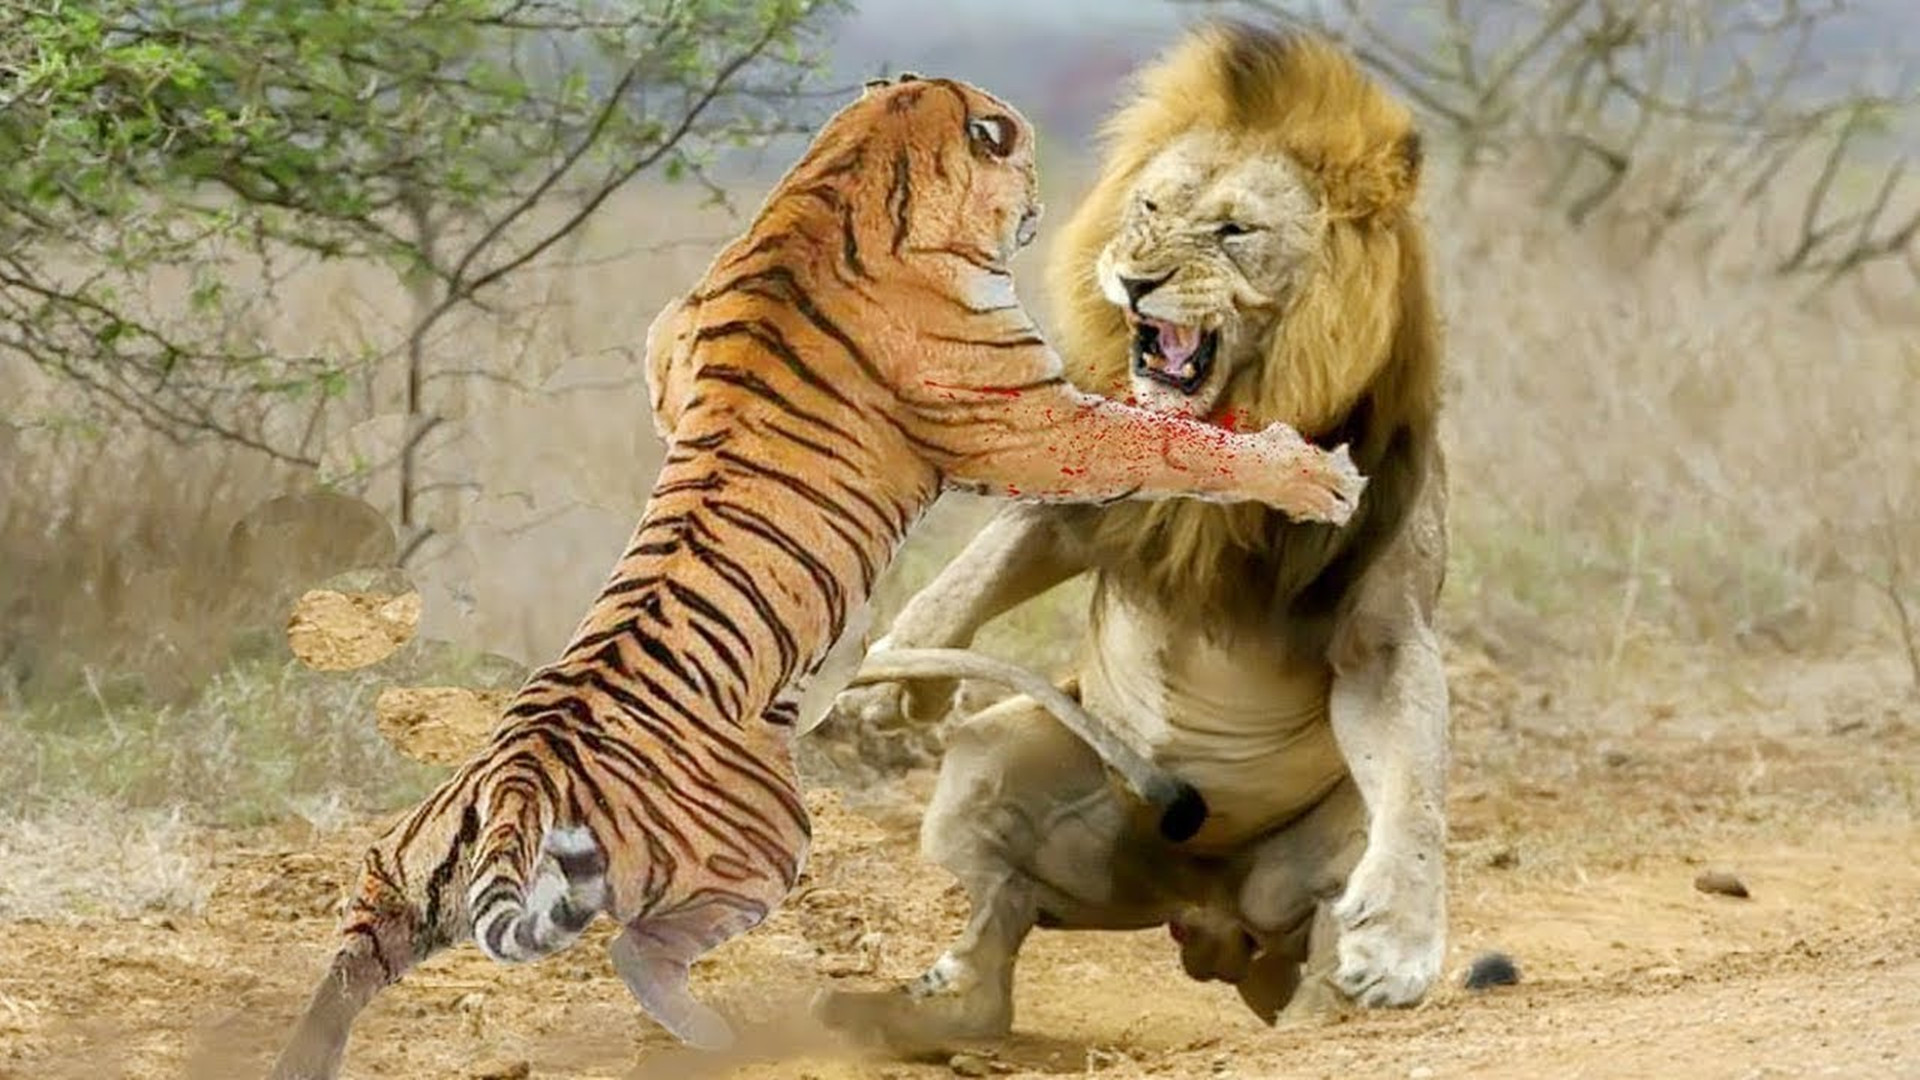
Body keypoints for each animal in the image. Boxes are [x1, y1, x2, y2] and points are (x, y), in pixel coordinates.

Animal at [267, 73, 1367, 1080]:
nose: (1045, 201)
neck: (847, 170)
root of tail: (516, 784)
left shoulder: (672, 340)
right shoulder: (1030, 419)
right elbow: (1170, 440)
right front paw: (1310, 475)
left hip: (397, 876)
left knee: (353, 954)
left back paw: (298, 1058)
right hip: (765, 840)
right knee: (637, 950)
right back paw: (729, 1037)